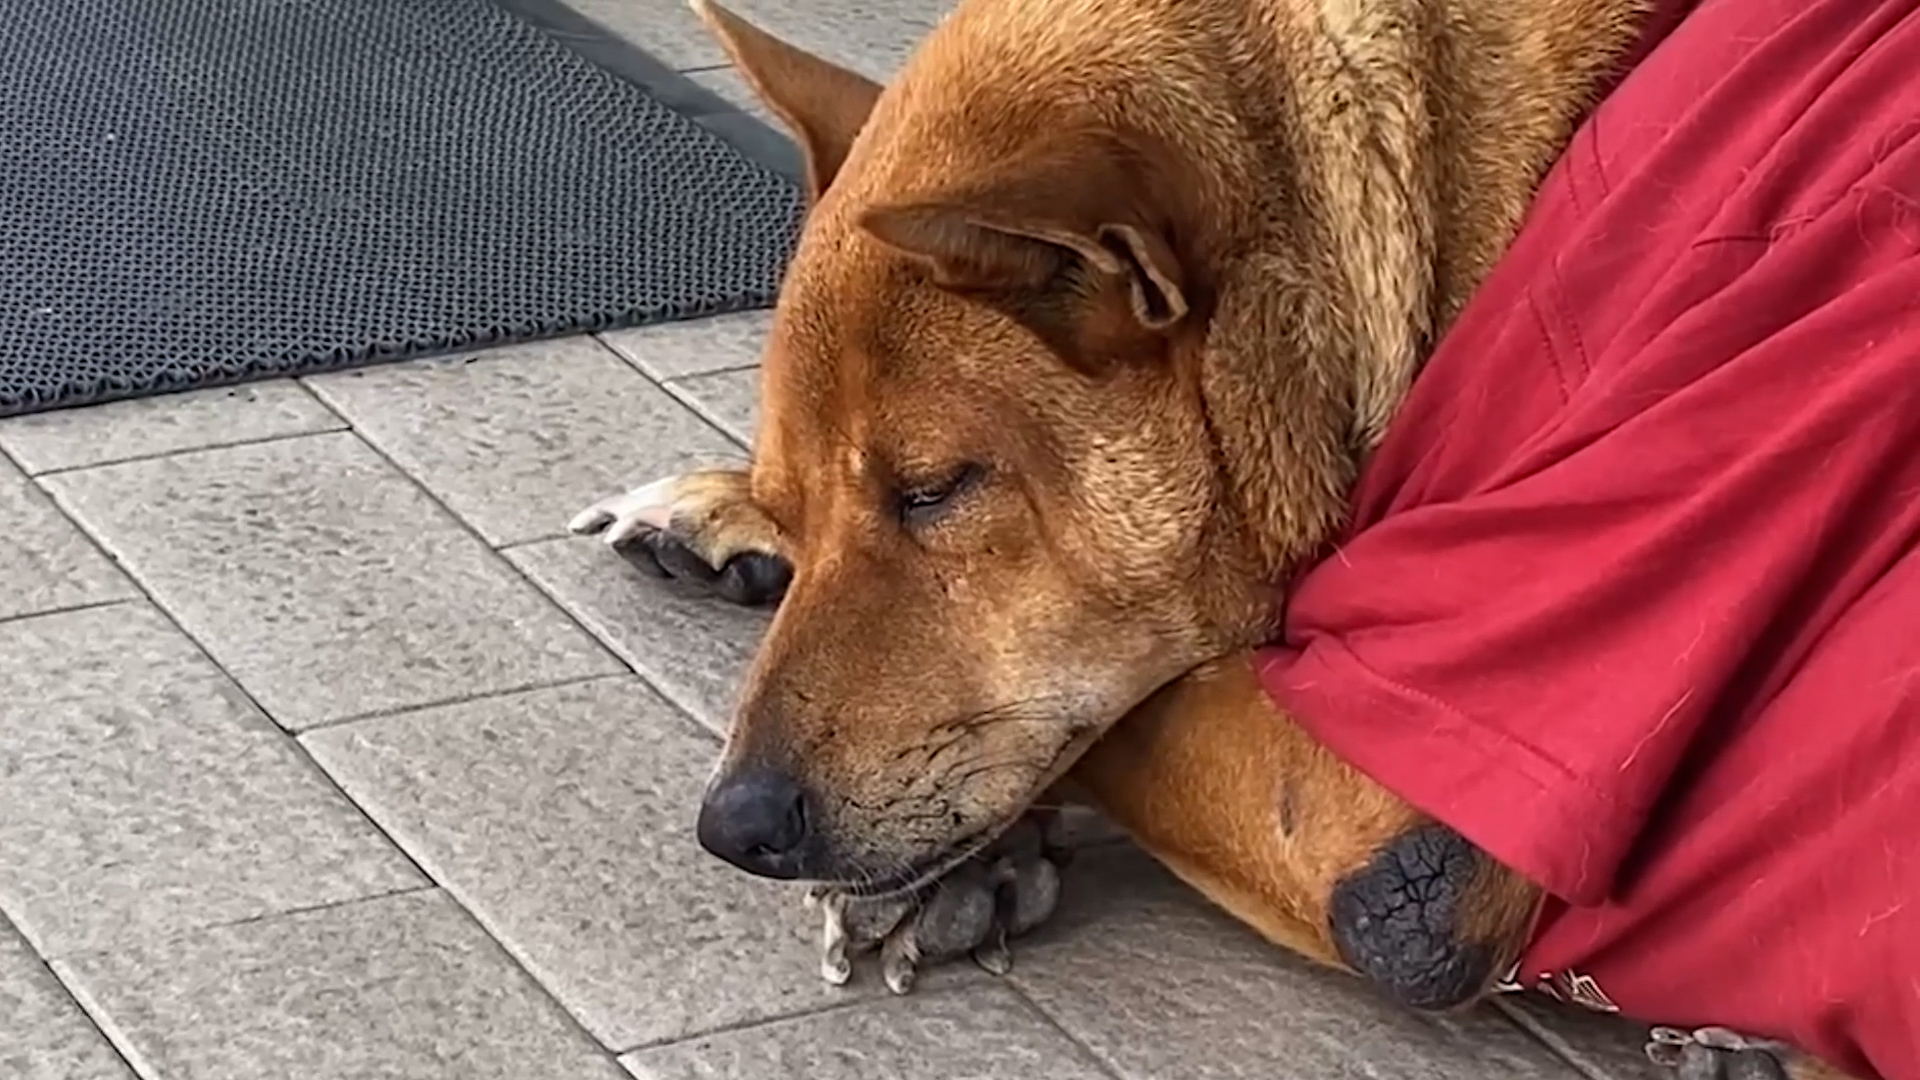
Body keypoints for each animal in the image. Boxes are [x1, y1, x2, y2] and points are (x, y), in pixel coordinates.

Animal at [568, 2, 1843, 1076]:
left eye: (936, 489)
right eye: (799, 504)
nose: (732, 829)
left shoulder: (1383, 831)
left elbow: (1137, 709)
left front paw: (978, 852)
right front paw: (724, 511)